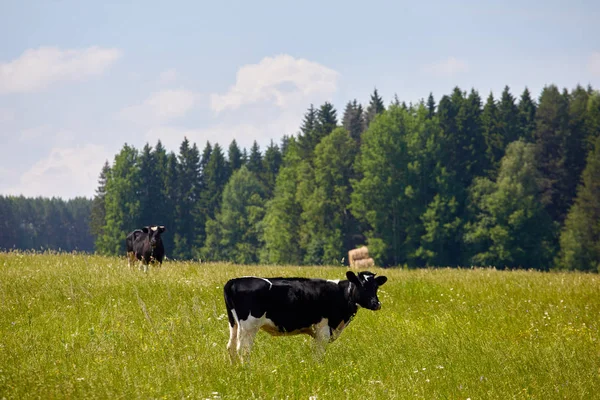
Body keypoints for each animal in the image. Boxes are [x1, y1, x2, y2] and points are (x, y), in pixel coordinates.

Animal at [223, 270, 386, 364]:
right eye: (361, 285)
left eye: (376, 287)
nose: (376, 304)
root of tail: (234, 281)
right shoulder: (323, 330)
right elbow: (319, 354)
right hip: (249, 326)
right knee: (243, 350)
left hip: (234, 324)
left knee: (231, 347)